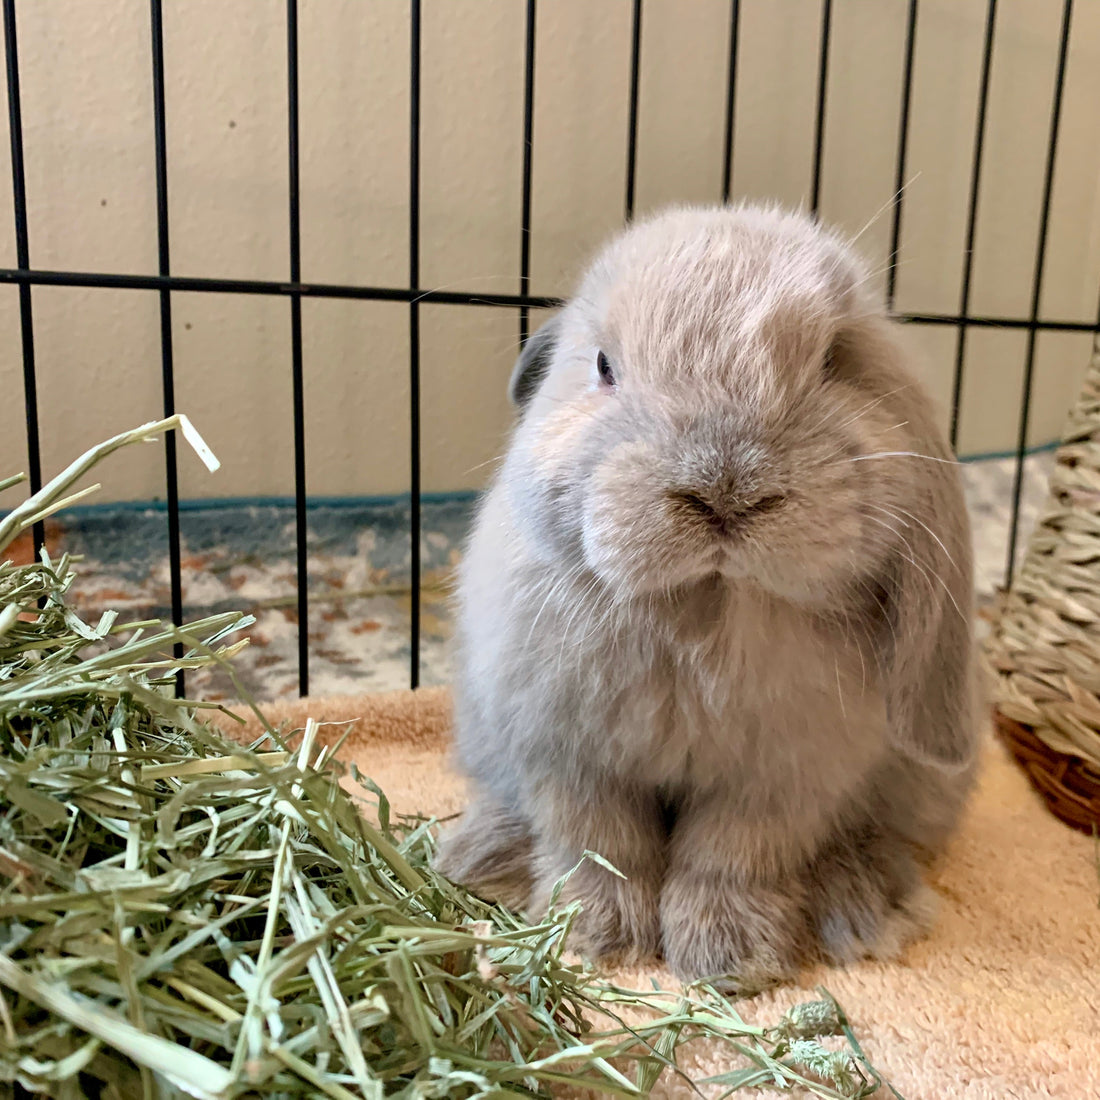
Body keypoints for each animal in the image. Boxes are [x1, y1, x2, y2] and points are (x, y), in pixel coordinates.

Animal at [435, 202, 979, 989]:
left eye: (833, 361)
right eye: (603, 366)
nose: (724, 490)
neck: (705, 606)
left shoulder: (782, 781)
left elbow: (730, 858)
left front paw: (728, 958)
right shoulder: (569, 758)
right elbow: (600, 846)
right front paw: (599, 939)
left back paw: (865, 906)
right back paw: (479, 858)